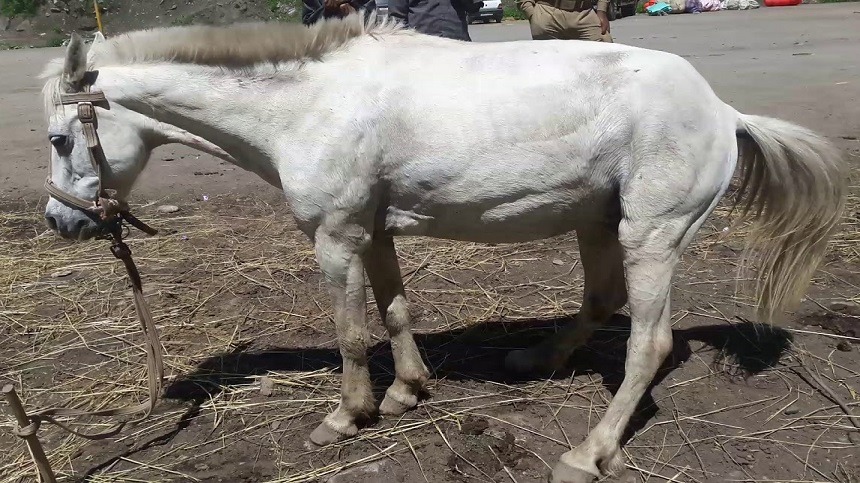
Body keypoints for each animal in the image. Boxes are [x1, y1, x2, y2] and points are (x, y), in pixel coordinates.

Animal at [42, 16, 848, 483]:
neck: (306, 104)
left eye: (58, 139)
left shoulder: (335, 237)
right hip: (600, 224)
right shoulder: (374, 232)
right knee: (600, 301)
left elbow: (349, 332)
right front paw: (407, 391)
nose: (61, 222)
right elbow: (396, 312)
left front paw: (346, 417)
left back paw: (589, 451)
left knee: (648, 343)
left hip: (649, 236)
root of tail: (724, 110)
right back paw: (537, 360)